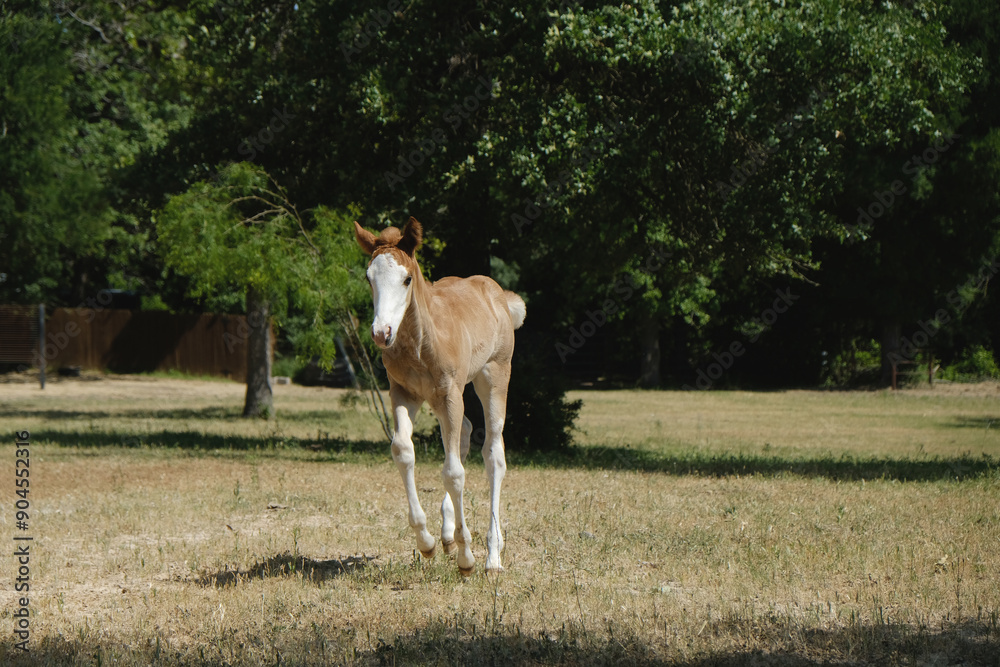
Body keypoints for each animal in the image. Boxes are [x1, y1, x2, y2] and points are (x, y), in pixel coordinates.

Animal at [354, 217, 525, 574]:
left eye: (406, 278)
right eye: (368, 277)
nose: (381, 333)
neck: (420, 342)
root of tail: (500, 296)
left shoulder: (450, 394)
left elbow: (454, 472)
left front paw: (466, 556)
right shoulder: (404, 393)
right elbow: (403, 451)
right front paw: (428, 542)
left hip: (492, 377)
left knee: (493, 453)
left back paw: (493, 555)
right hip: (440, 398)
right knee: (465, 434)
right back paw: (447, 536)